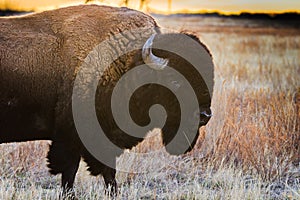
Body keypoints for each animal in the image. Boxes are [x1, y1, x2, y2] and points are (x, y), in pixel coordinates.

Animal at [1, 4, 214, 197]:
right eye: (175, 81)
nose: (204, 115)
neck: (126, 62)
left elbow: (108, 172)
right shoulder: (71, 137)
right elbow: (70, 171)